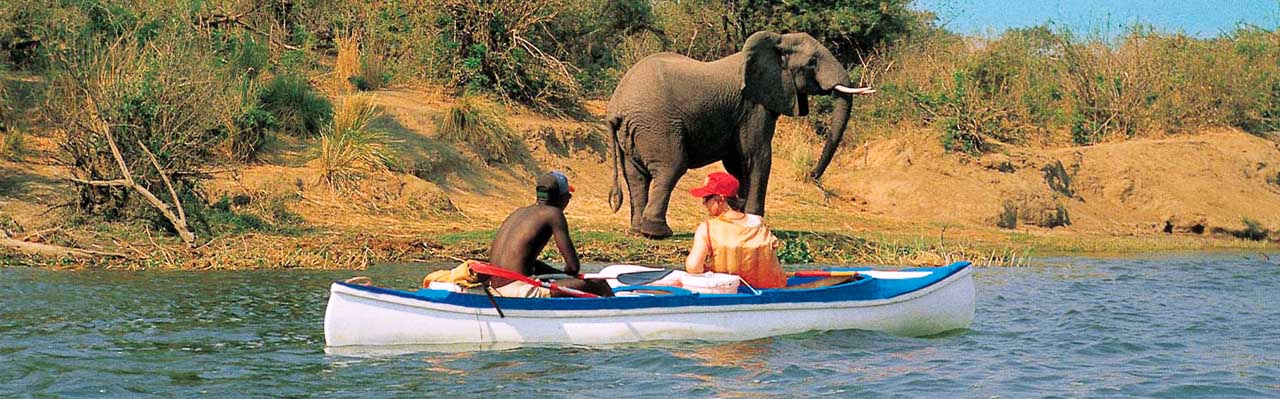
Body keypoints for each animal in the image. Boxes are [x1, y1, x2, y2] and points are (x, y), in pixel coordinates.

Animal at [606, 31, 870, 237]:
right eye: (813, 62)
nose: (813, 174)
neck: (777, 42)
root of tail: (616, 107)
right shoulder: (755, 105)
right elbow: (756, 155)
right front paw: (754, 223)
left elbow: (737, 161)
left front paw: (739, 217)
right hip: (657, 126)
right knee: (671, 167)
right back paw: (658, 233)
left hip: (635, 132)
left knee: (637, 177)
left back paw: (638, 231)